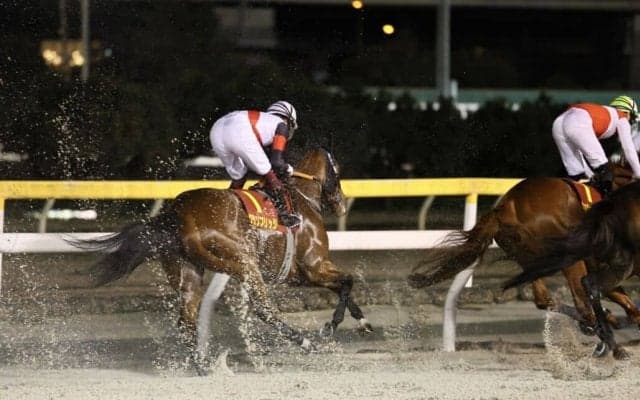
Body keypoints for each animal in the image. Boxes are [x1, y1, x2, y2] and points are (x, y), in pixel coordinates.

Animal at [73, 147, 373, 374]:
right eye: (338, 171)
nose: (341, 204)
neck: (301, 197)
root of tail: (179, 213)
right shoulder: (313, 266)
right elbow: (347, 281)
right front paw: (331, 327)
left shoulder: (299, 274)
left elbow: (343, 286)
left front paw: (363, 324)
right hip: (243, 262)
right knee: (263, 310)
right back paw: (305, 342)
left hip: (189, 271)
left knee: (187, 319)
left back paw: (202, 366)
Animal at [408, 163, 640, 333]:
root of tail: (504, 209)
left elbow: (626, 303)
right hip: (565, 257)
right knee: (580, 303)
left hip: (529, 258)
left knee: (544, 299)